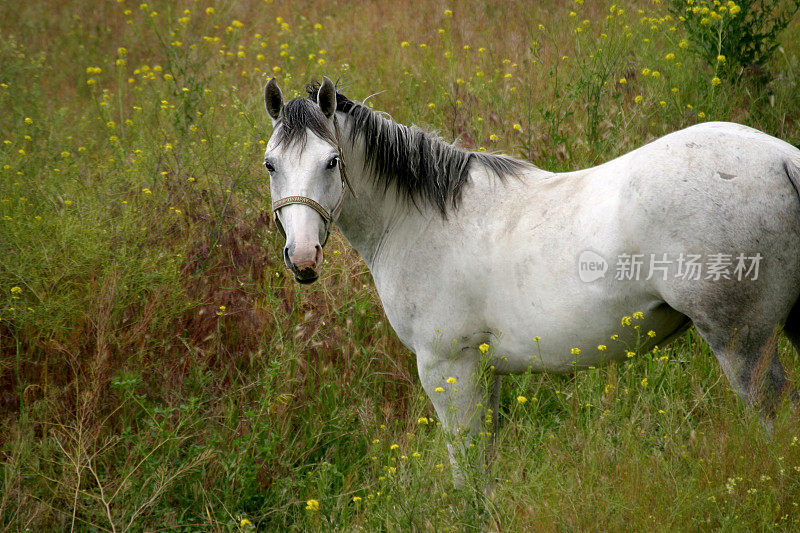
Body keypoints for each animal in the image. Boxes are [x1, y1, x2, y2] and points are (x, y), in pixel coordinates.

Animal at [262, 76, 800, 486]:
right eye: (270, 164)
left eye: (331, 161)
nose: (303, 257)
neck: (420, 221)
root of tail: (783, 159)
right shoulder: (485, 372)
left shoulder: (447, 368)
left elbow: (467, 470)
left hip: (742, 344)